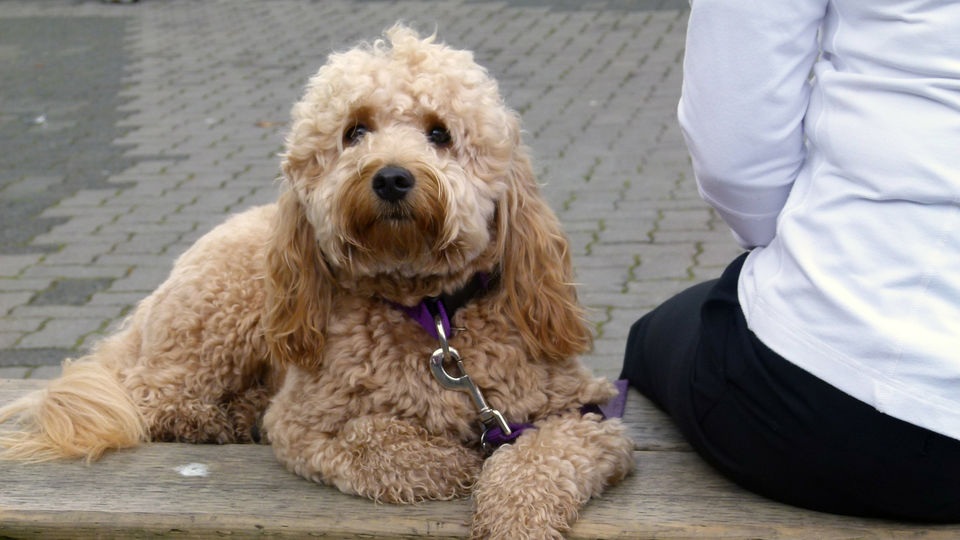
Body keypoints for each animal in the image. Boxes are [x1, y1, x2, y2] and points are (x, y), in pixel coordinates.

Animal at [1, 26, 636, 540]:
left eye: (440, 133)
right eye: (355, 131)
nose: (392, 177)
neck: (429, 315)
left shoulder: (585, 416)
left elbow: (536, 460)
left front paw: (513, 516)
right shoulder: (302, 424)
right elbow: (370, 438)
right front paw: (446, 462)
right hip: (221, 317)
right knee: (152, 397)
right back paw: (219, 420)